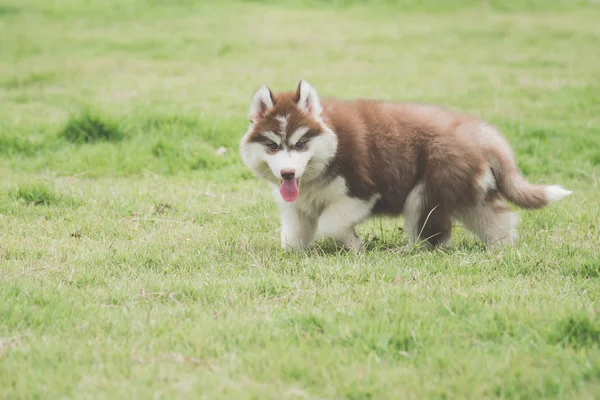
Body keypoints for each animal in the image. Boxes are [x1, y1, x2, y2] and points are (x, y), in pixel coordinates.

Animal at [240, 81, 572, 250]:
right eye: (273, 146)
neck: (330, 149)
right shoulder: (299, 206)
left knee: (432, 236)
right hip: (466, 192)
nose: (287, 173)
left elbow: (330, 224)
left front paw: (355, 245)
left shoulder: (361, 192)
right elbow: (293, 238)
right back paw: (501, 250)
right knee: (498, 218)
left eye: (300, 144)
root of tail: (476, 130)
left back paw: (407, 251)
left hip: (426, 194)